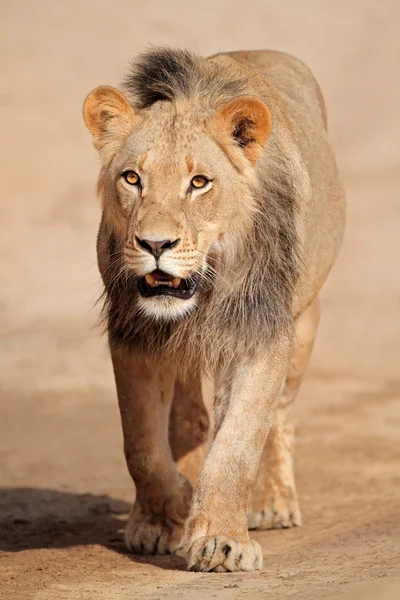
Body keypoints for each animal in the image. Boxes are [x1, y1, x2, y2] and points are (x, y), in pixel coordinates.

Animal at [83, 48, 346, 572]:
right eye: (132, 178)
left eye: (199, 182)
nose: (155, 244)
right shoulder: (133, 337)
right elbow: (142, 446)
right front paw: (166, 515)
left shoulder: (261, 336)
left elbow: (236, 448)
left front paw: (221, 542)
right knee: (188, 420)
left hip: (305, 323)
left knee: (281, 417)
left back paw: (273, 502)